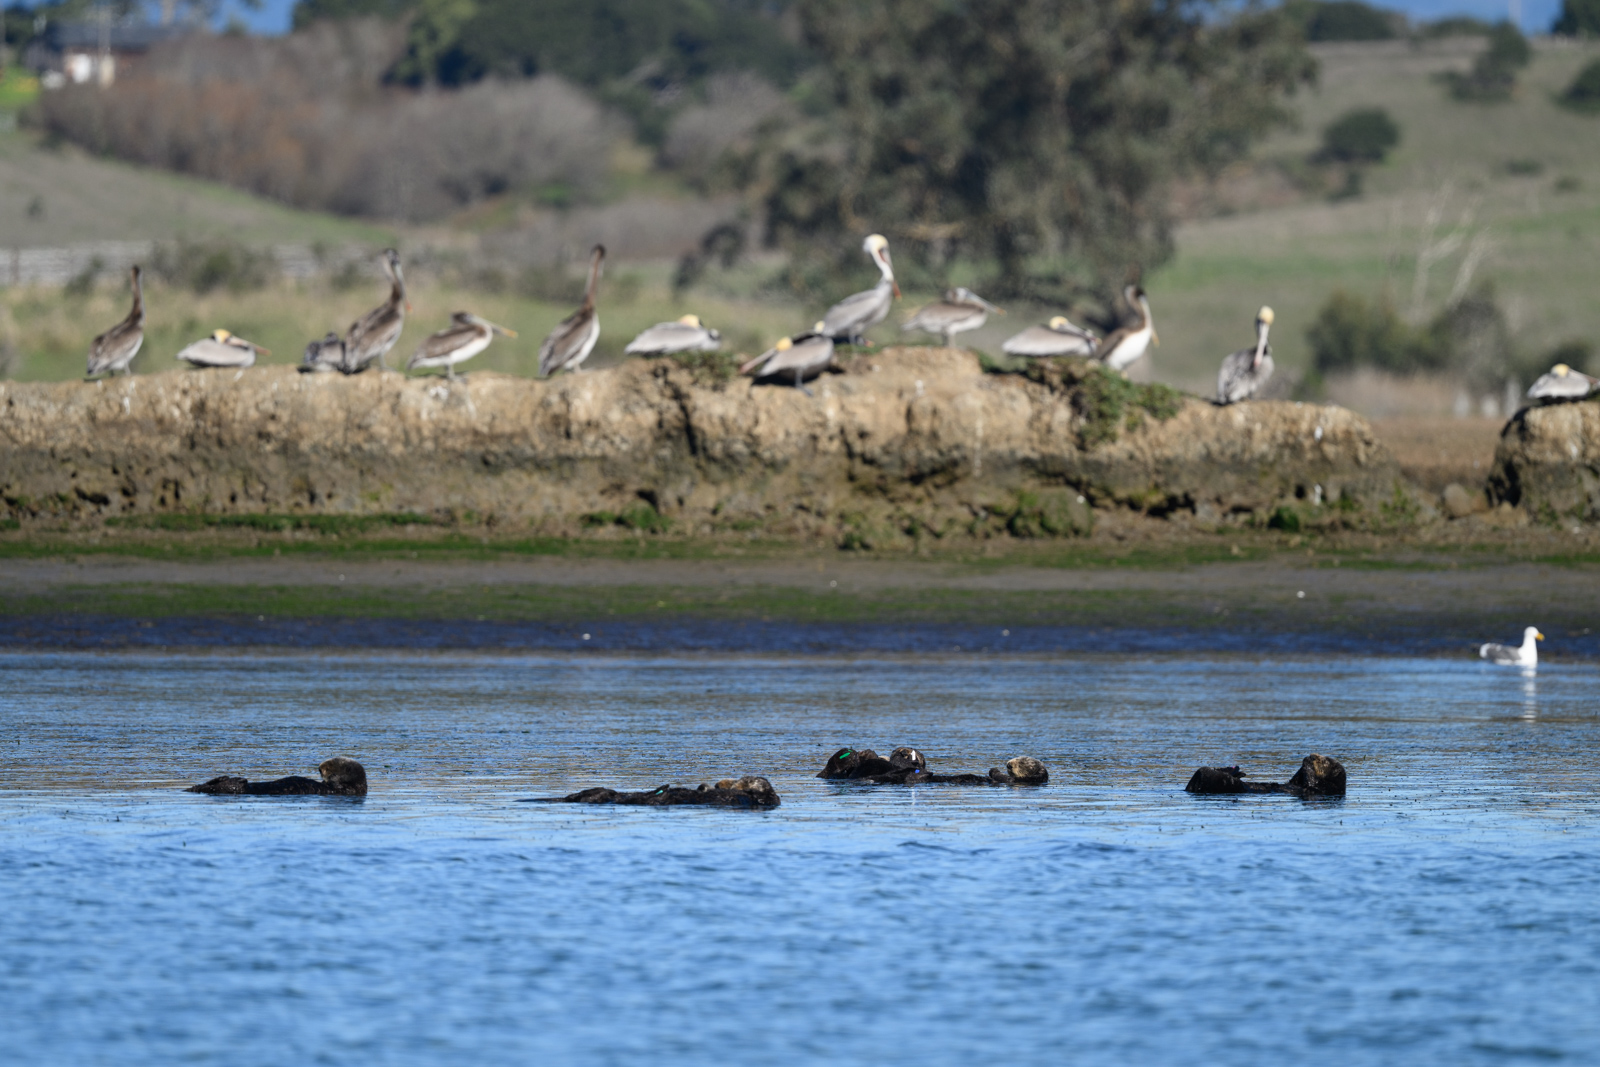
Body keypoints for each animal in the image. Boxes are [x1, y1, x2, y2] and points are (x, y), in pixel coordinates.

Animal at [1185, 754, 1346, 798]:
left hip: (1223, 784)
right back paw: (1235, 769)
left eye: (1323, 761)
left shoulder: (1325, 788)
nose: (1312, 756)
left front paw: (1307, 764)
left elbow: (1311, 781)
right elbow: (1295, 780)